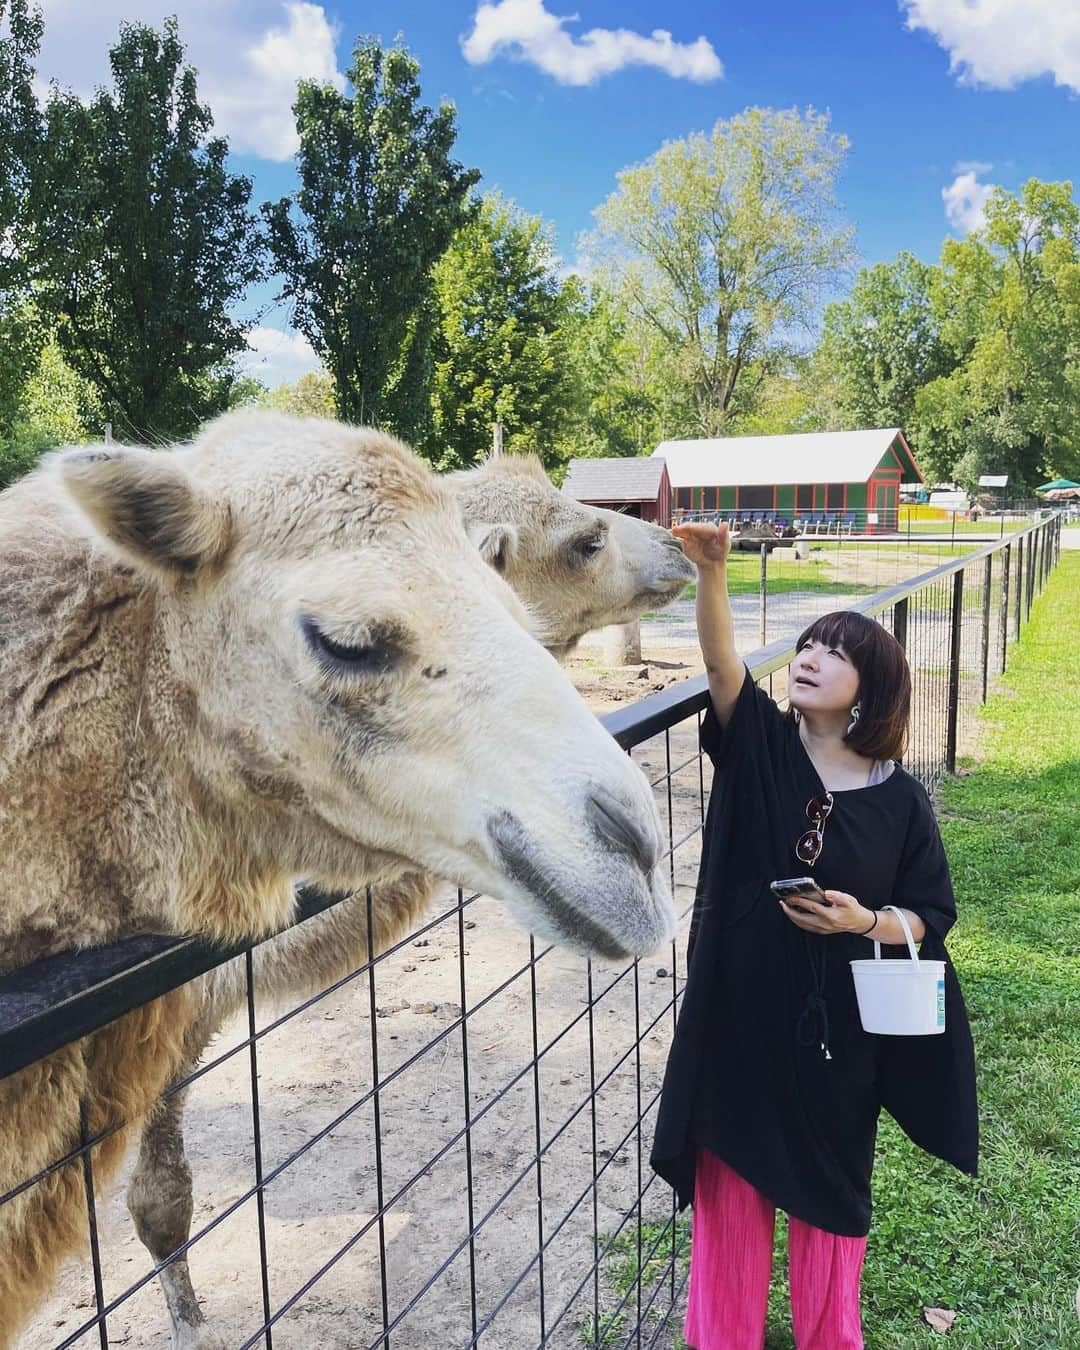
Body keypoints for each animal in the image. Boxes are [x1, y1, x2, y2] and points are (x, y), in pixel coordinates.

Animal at [0, 410, 675, 1350]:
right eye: (348, 640)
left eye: (512, 611)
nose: (637, 853)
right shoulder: (185, 1015)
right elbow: (162, 1203)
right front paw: (192, 1324)